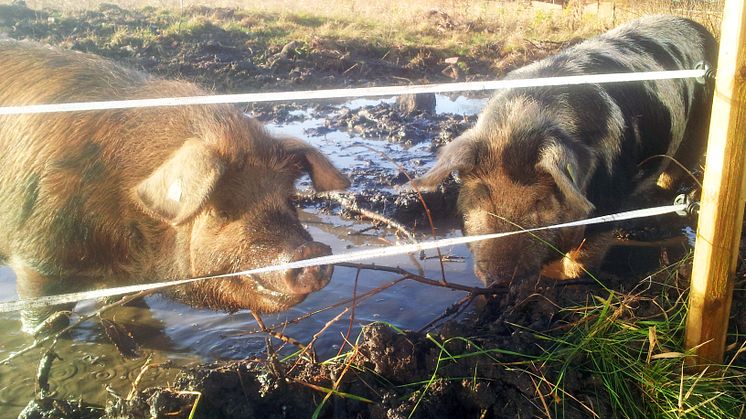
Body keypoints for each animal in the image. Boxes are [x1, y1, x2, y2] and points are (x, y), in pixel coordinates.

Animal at [0, 41, 348, 334]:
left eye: (290, 200)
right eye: (222, 209)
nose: (311, 251)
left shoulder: (119, 281)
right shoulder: (37, 263)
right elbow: (43, 321)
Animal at [412, 15, 716, 286]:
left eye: (539, 202)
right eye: (481, 196)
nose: (500, 279)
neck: (519, 123)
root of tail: (703, 30)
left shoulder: (609, 199)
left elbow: (583, 258)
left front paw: (556, 276)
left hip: (699, 133)